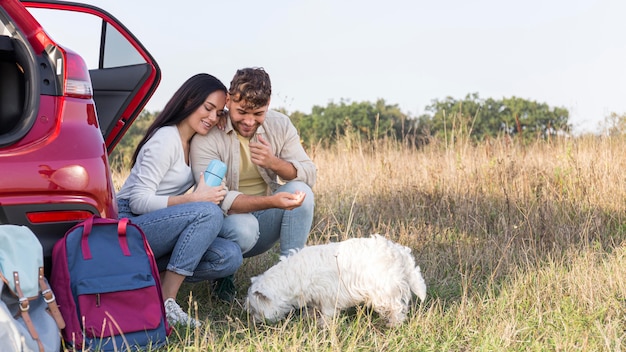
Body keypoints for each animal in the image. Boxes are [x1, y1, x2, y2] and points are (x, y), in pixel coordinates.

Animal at [243, 234, 424, 328]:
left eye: (254, 309)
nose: (254, 323)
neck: (291, 276)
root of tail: (398, 251)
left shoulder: (329, 295)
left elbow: (328, 312)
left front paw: (323, 324)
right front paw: (310, 316)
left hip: (385, 291)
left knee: (397, 307)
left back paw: (393, 324)